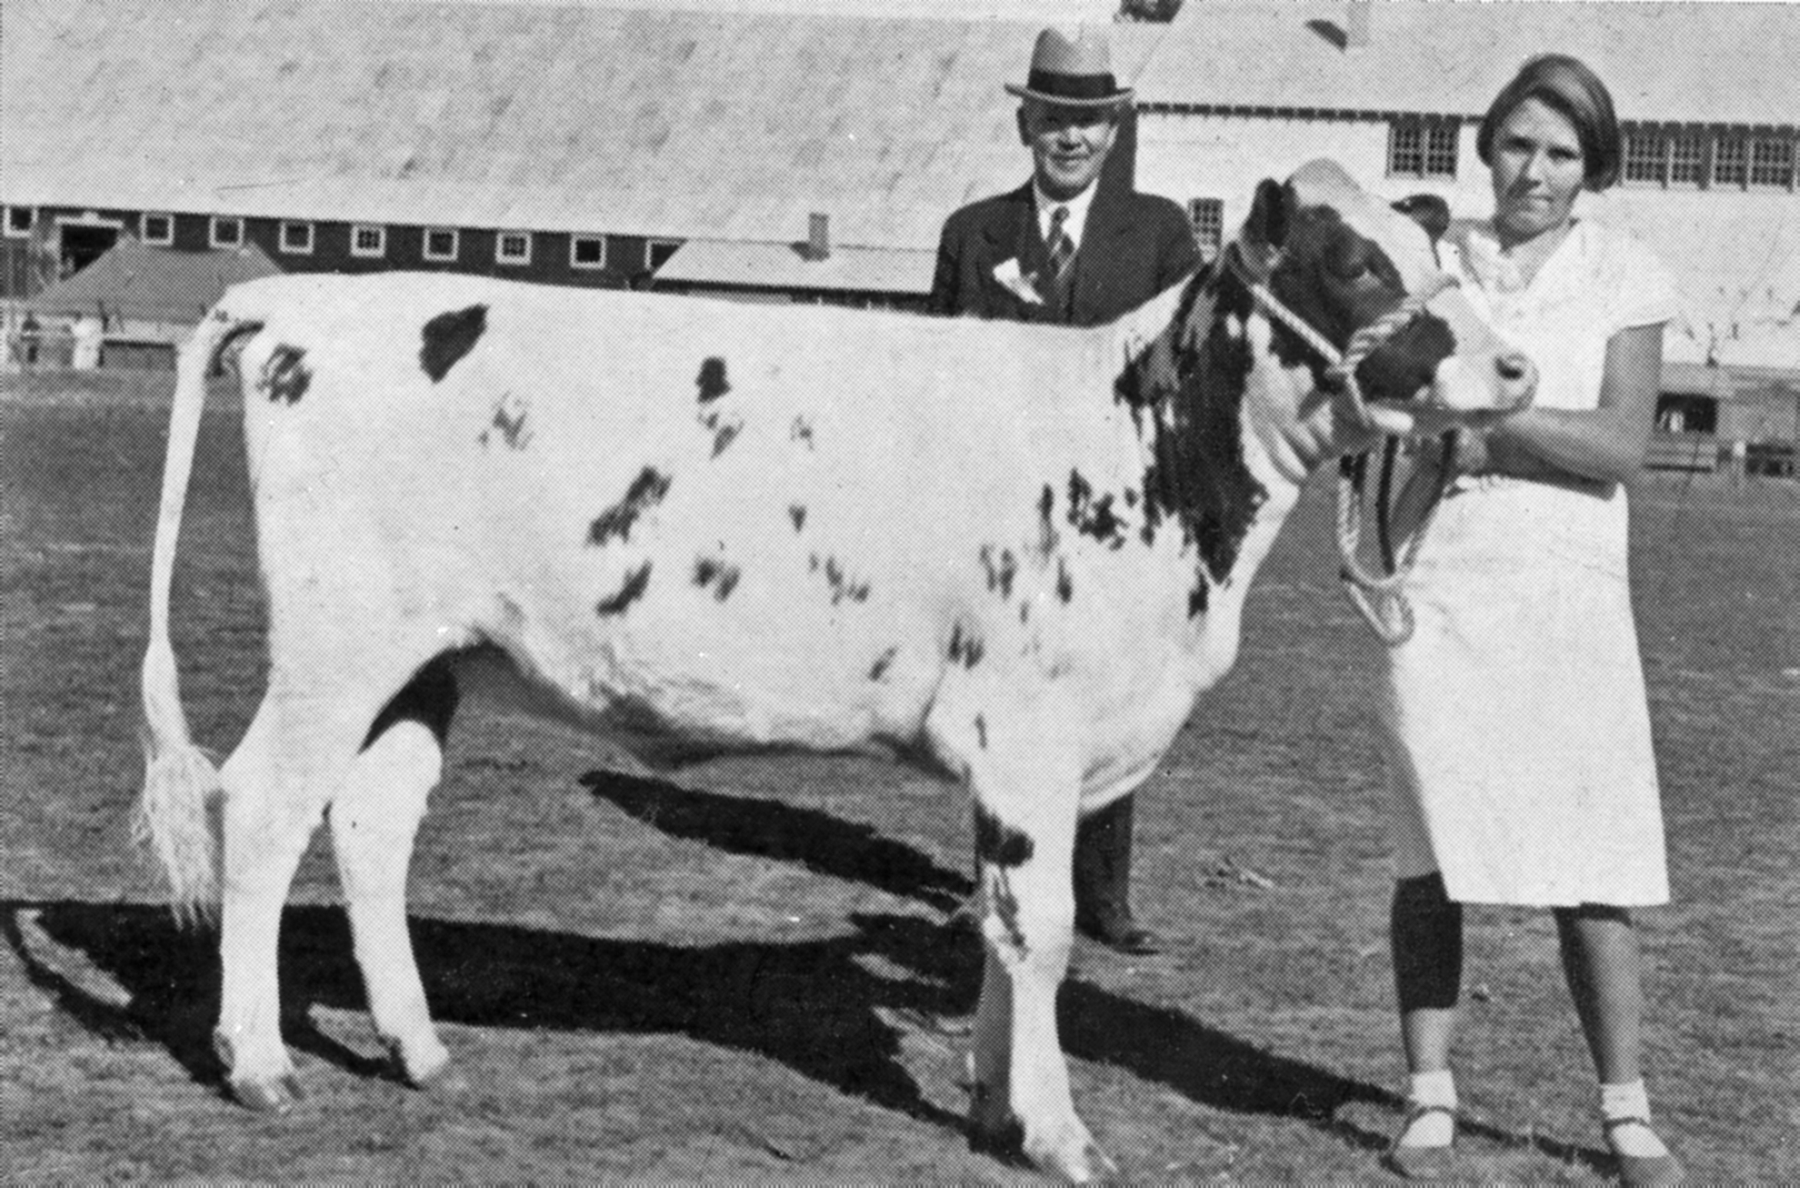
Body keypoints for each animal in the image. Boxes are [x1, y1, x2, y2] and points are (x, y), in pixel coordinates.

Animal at [136, 162, 1533, 1180]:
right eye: (1354, 263)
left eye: (1441, 258)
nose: (1513, 365)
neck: (1141, 445)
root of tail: (300, 303)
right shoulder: (1028, 732)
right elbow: (1042, 930)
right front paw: (1060, 1133)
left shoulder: (1029, 761)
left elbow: (1001, 924)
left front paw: (991, 1104)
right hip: (337, 645)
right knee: (261, 809)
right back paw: (259, 1062)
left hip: (430, 658)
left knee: (370, 826)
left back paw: (419, 1048)